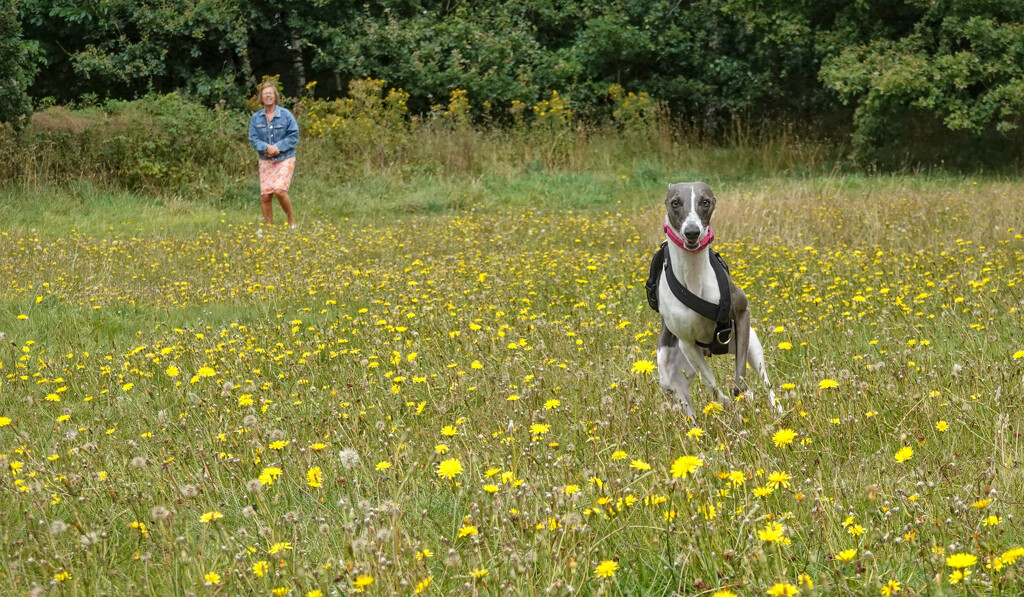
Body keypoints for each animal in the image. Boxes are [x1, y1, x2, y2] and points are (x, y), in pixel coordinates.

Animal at [655, 180, 774, 417]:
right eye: (675, 202)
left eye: (705, 201)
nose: (692, 232)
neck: (693, 278)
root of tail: (711, 351)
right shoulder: (687, 344)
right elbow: (711, 384)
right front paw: (727, 402)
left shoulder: (742, 314)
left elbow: (740, 378)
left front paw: (742, 394)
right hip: (671, 376)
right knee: (687, 406)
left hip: (752, 345)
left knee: (767, 384)